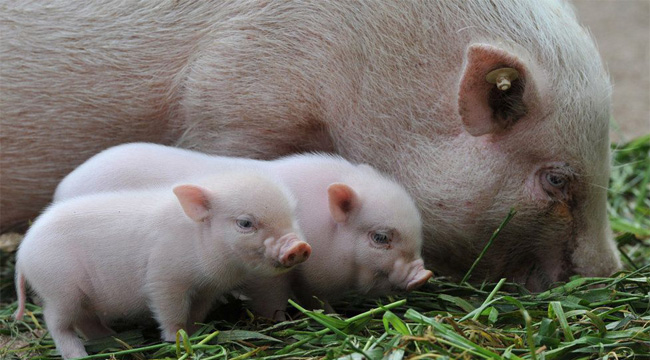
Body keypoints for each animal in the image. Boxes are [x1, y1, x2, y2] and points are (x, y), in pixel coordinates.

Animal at [15, 171, 308, 358]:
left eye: (291, 214)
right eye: (245, 223)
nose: (299, 247)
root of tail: (23, 251)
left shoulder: (207, 289)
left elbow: (198, 312)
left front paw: (195, 332)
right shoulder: (164, 278)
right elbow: (170, 311)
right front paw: (175, 339)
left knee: (86, 321)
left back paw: (111, 336)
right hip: (60, 290)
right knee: (55, 322)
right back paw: (78, 354)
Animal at [54, 142, 430, 320]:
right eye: (381, 237)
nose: (423, 274)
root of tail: (63, 187)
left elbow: (318, 301)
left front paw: (333, 315)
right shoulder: (265, 276)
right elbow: (272, 300)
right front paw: (280, 322)